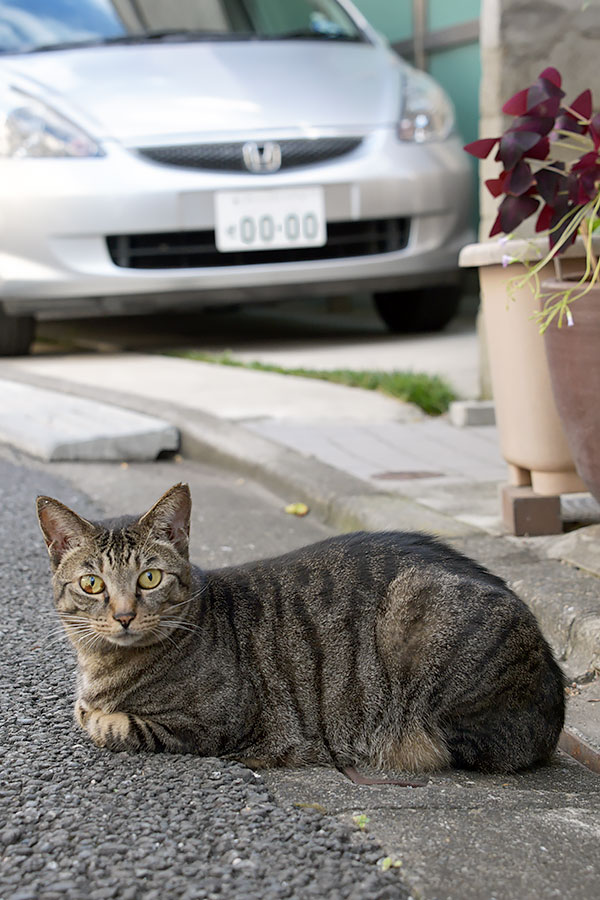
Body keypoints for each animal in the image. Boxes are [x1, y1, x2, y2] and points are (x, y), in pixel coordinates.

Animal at [36, 486, 564, 772]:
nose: (124, 614)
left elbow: (108, 724)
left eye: (149, 578)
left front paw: (97, 716)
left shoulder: (210, 724)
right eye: (91, 583)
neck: (102, 664)